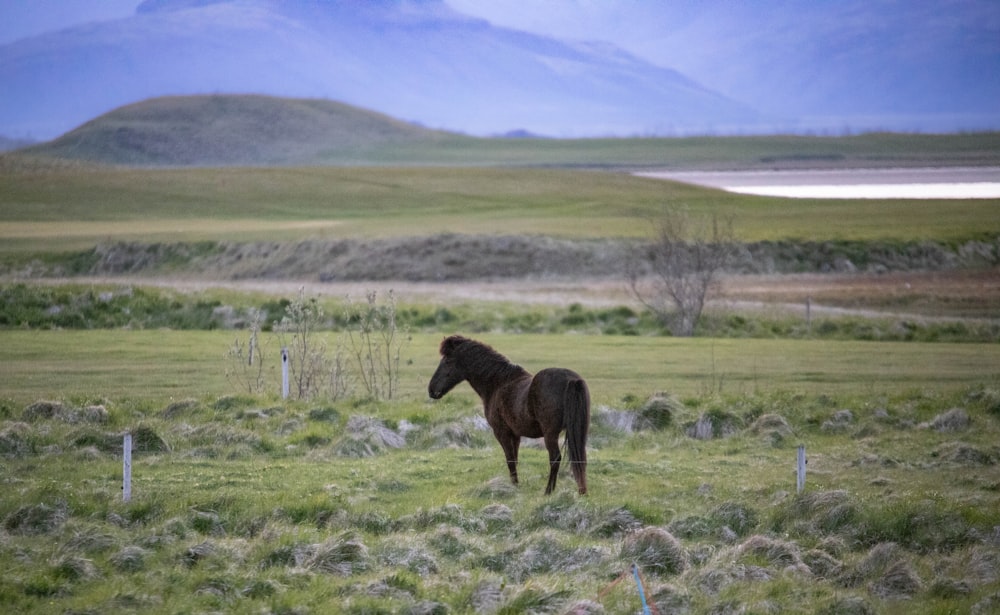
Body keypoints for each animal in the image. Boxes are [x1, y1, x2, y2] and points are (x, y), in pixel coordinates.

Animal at [428, 336, 584, 496]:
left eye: (447, 361)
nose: (431, 390)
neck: (499, 383)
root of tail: (571, 380)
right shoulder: (515, 435)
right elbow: (515, 458)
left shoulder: (502, 432)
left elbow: (510, 460)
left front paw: (514, 487)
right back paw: (581, 491)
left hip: (550, 434)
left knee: (555, 458)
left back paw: (548, 491)